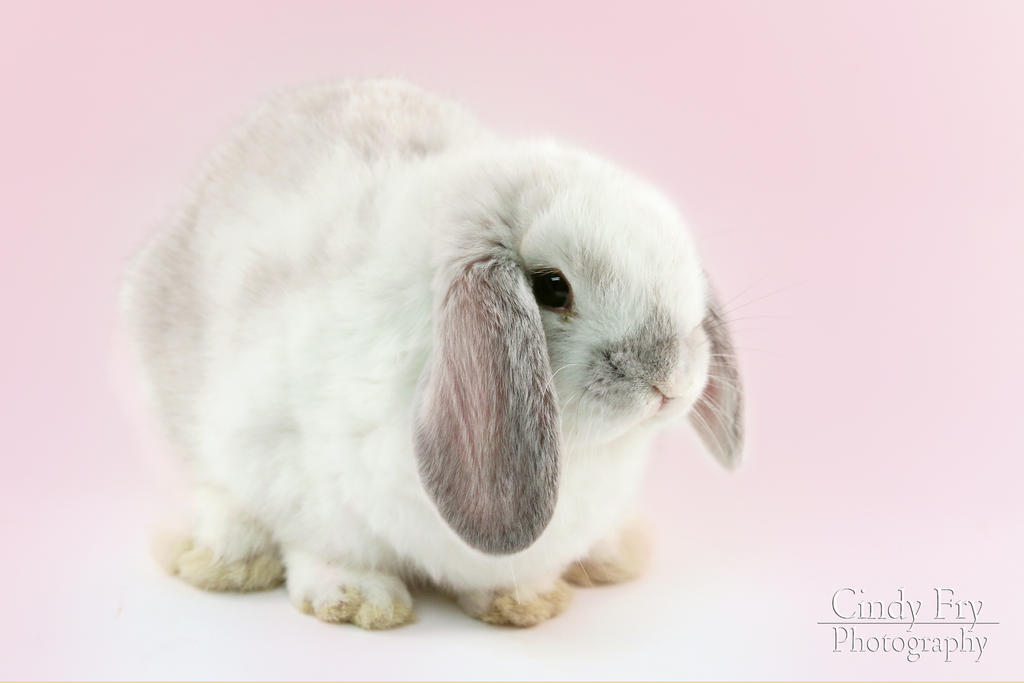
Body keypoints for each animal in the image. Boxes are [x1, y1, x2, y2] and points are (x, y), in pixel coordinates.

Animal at [121, 78, 743, 630]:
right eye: (551, 287)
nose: (670, 379)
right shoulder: (292, 466)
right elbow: (326, 546)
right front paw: (358, 601)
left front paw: (522, 601)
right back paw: (223, 558)